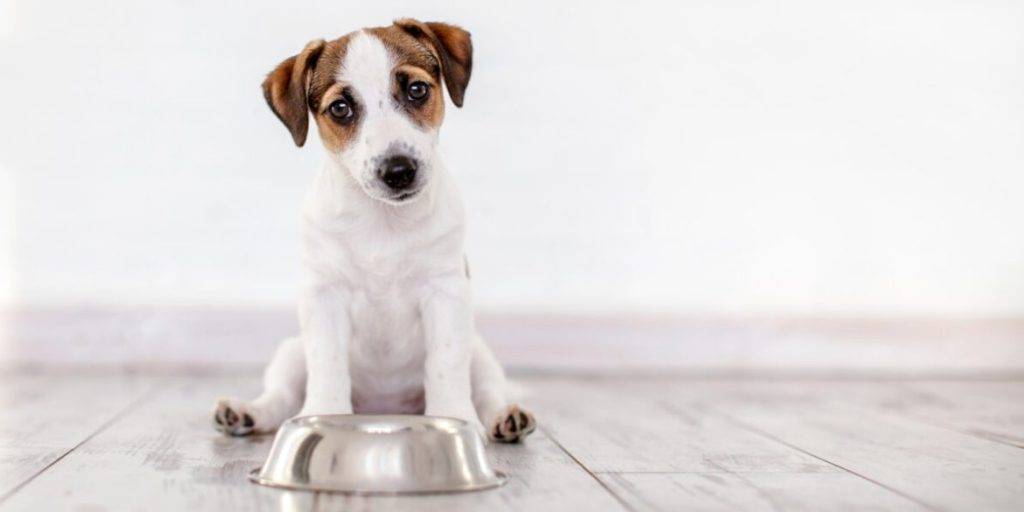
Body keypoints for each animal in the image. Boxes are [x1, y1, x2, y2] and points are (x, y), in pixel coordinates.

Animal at [212, 18, 540, 444]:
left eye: (416, 89)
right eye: (341, 108)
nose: (398, 170)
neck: (383, 221)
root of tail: (384, 407)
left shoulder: (446, 292)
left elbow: (446, 363)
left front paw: (454, 418)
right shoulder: (323, 297)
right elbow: (328, 364)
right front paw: (324, 416)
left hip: (481, 353)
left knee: (487, 391)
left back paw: (506, 417)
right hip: (291, 353)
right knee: (280, 396)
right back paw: (246, 413)